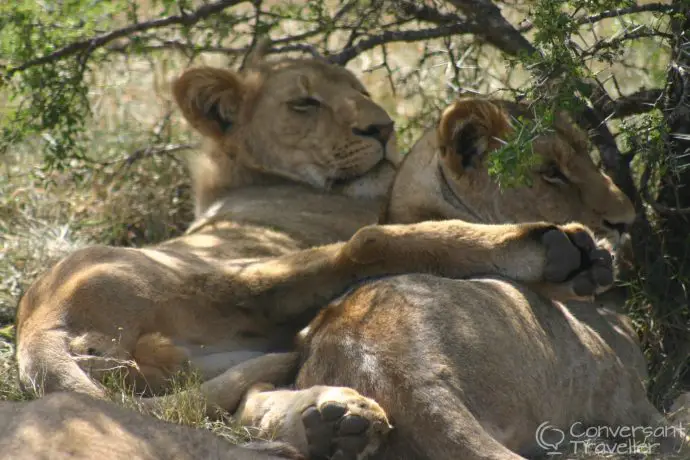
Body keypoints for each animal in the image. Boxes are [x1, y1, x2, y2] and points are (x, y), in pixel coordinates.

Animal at [13, 47, 612, 460]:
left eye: (361, 88)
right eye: (304, 103)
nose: (383, 127)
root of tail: (38, 323)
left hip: (215, 356)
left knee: (245, 396)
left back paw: (339, 420)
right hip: (238, 279)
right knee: (365, 247)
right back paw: (555, 252)